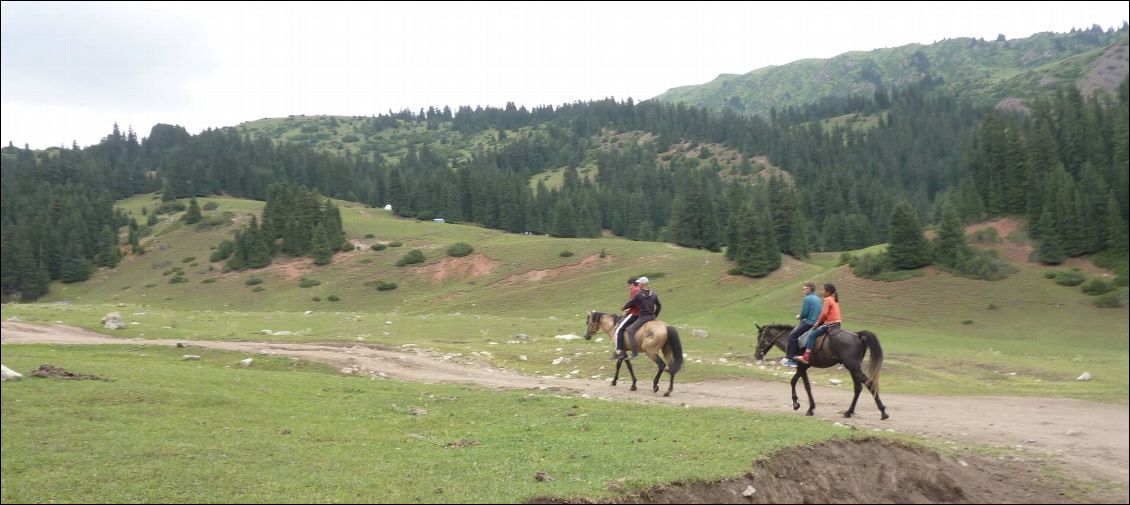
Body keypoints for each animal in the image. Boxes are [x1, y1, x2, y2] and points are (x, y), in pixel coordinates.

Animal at [754, 323, 885, 420]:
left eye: (759, 338)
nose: (756, 355)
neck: (790, 339)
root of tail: (857, 335)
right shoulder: (803, 367)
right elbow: (793, 381)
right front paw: (796, 404)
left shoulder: (801, 367)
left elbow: (806, 386)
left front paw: (810, 408)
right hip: (853, 368)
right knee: (858, 387)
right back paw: (850, 412)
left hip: (853, 366)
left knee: (868, 383)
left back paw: (882, 412)